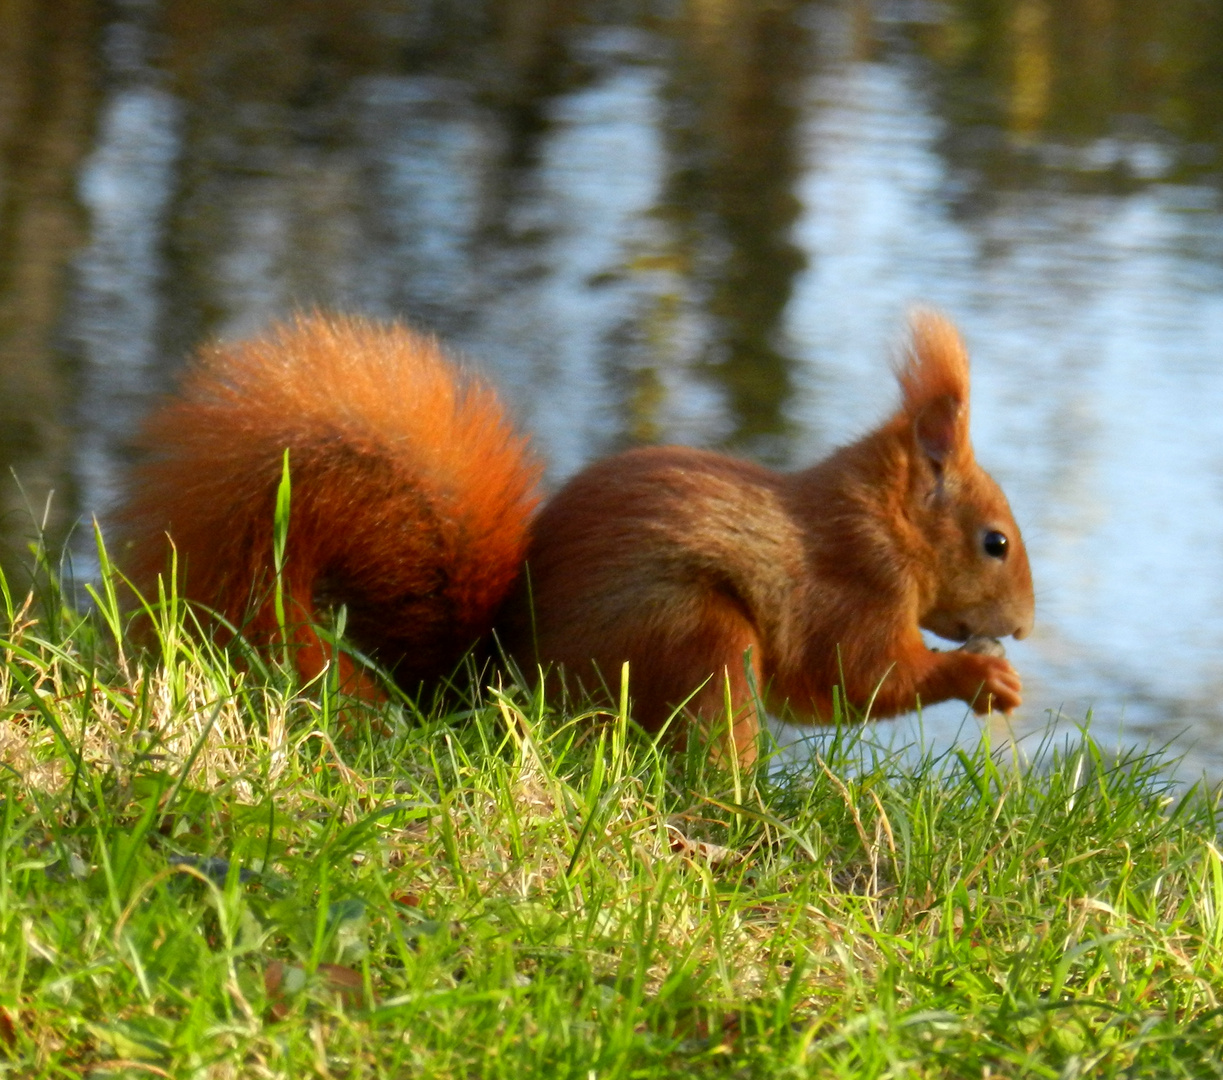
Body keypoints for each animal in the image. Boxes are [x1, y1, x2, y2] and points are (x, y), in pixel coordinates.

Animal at [114, 313, 1032, 763]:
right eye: (994, 542)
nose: (1022, 627)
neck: (877, 524)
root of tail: (490, 683)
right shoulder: (848, 586)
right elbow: (853, 679)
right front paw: (978, 677)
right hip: (697, 641)